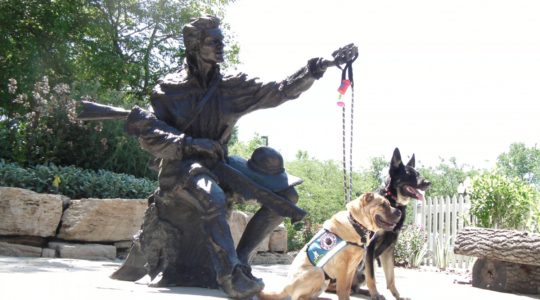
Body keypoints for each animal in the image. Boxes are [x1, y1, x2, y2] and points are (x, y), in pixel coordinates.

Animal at [258, 192, 400, 300]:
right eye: (383, 205)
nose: (399, 212)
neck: (355, 223)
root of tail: (285, 288)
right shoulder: (343, 267)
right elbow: (342, 290)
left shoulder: (351, 269)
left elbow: (347, 288)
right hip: (318, 272)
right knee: (299, 298)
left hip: (324, 281)